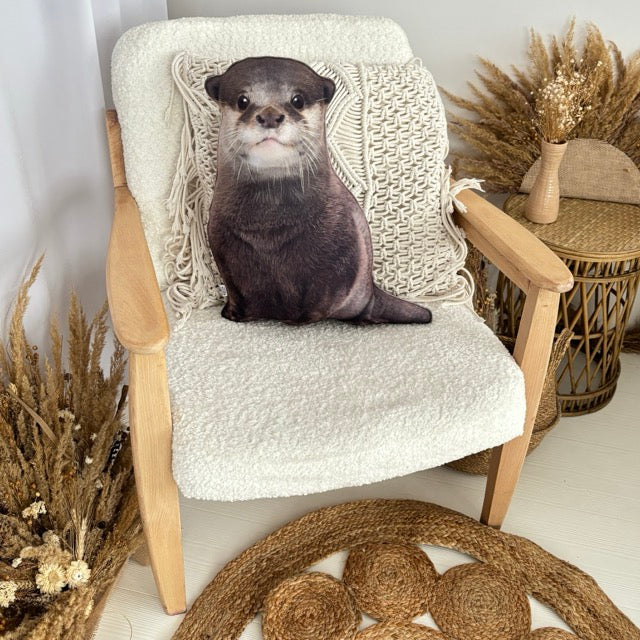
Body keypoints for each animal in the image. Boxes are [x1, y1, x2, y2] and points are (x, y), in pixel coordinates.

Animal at [205, 56, 432, 325]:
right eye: (242, 101)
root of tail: (372, 290)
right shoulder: (221, 247)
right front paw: (234, 314)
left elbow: (322, 294)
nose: (270, 116)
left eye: (297, 100)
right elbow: (235, 288)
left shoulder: (341, 251)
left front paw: (299, 319)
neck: (268, 229)